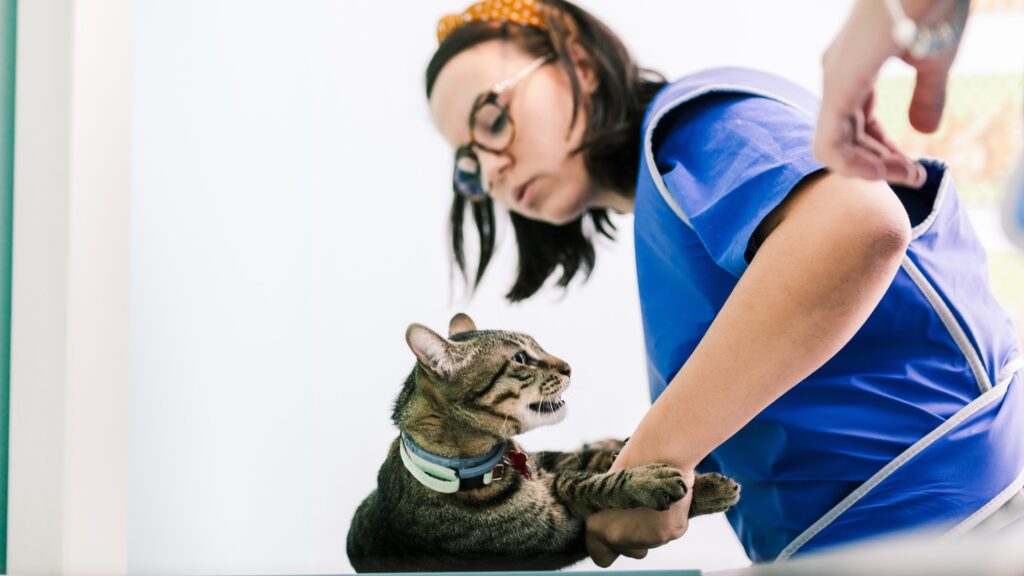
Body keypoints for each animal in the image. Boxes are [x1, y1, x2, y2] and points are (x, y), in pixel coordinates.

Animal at [348, 313, 741, 569]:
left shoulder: (550, 462)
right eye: (521, 358)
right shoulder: (556, 536)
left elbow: (589, 466)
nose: (569, 366)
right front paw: (659, 483)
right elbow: (592, 486)